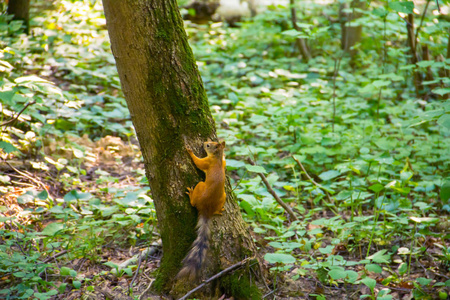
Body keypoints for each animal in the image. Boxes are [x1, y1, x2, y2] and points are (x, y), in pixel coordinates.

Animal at [176, 139, 225, 280]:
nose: (204, 142)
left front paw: (189, 151)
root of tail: (206, 209)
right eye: (211, 141)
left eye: (208, 145)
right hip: (224, 196)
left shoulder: (207, 162)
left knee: (193, 203)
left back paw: (191, 194)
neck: (217, 158)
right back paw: (218, 211)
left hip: (200, 186)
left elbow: (198, 162)